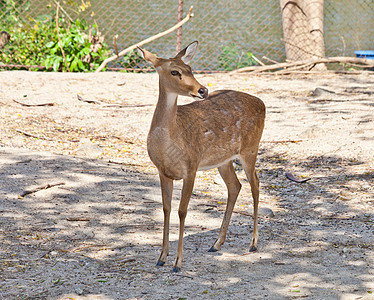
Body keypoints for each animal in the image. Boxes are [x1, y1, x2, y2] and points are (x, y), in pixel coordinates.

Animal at [138, 41, 266, 274]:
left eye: (190, 69)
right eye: (175, 71)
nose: (203, 90)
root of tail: (261, 102)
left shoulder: (191, 166)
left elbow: (182, 211)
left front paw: (178, 262)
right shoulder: (163, 171)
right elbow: (166, 209)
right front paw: (161, 257)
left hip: (250, 148)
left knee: (255, 184)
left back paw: (253, 243)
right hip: (224, 160)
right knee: (235, 186)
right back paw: (216, 244)